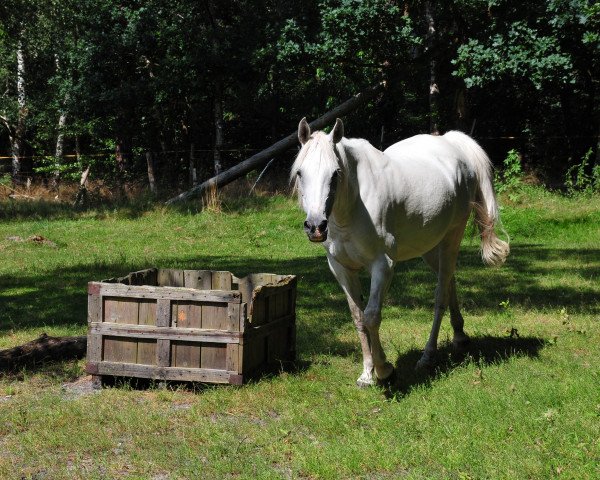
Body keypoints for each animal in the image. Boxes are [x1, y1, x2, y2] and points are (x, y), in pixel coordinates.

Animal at [290, 118, 506, 388]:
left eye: (335, 173)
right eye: (300, 173)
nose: (316, 226)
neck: (351, 208)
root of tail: (452, 143)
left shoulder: (383, 266)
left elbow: (372, 316)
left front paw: (384, 369)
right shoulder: (340, 268)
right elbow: (358, 317)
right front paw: (366, 373)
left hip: (451, 238)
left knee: (440, 296)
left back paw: (427, 356)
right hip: (430, 247)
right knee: (449, 282)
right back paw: (459, 336)